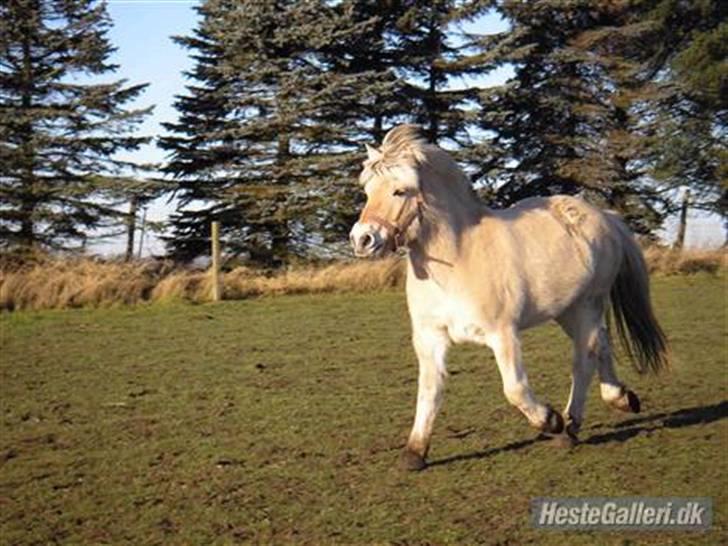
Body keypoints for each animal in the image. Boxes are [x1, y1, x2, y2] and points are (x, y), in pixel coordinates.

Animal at [350, 123, 668, 468]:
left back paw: (569, 427)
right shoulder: (430, 338)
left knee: (584, 359)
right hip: (568, 311)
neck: (457, 261)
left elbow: (514, 389)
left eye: (400, 191)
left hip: (588, 305)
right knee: (601, 346)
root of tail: (604, 216)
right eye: (368, 190)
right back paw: (620, 399)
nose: (362, 239)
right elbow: (430, 391)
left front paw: (550, 420)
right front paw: (414, 453)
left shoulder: (503, 334)